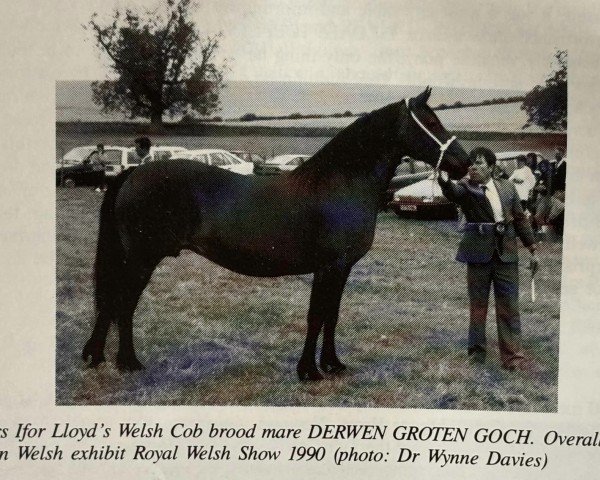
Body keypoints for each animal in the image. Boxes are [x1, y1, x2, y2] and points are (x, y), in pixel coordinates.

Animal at [82, 88, 472, 382]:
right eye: (432, 122)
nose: (464, 163)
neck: (340, 184)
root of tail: (132, 174)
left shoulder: (342, 269)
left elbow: (332, 315)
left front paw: (333, 365)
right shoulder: (329, 267)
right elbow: (316, 316)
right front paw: (309, 372)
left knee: (111, 302)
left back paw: (96, 357)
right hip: (142, 258)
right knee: (123, 303)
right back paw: (128, 363)